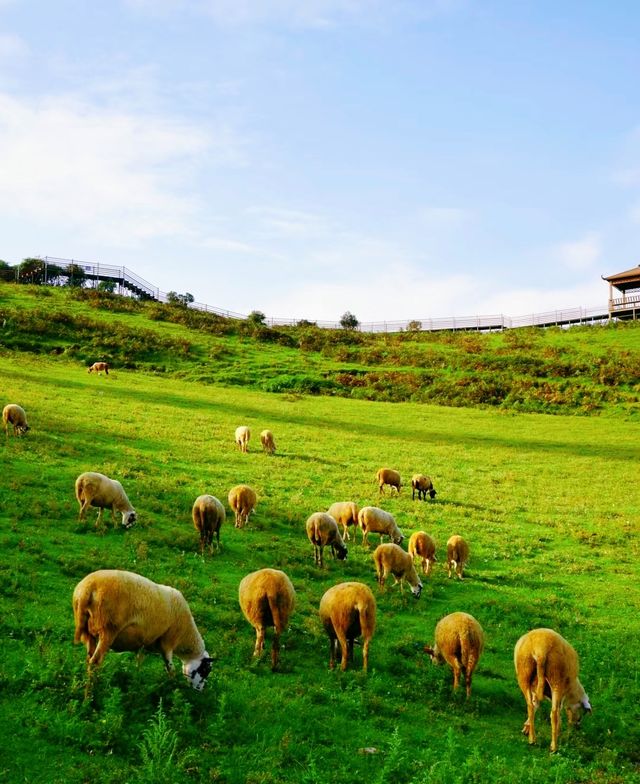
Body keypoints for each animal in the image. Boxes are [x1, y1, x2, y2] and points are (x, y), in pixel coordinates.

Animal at [72, 568, 212, 692]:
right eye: (204, 670)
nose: (199, 690)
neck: (186, 635)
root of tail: (87, 588)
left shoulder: (143, 644)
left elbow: (139, 662)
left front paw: (136, 681)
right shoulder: (168, 642)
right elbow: (171, 669)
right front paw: (173, 688)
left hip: (89, 632)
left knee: (89, 659)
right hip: (108, 629)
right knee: (95, 662)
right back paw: (92, 693)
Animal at [512, 624, 592, 752]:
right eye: (582, 713)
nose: (577, 726)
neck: (572, 691)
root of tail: (541, 648)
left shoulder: (535, 689)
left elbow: (535, 704)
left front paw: (527, 727)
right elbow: (556, 712)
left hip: (525, 672)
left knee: (531, 706)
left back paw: (533, 740)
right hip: (556, 678)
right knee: (554, 713)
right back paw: (553, 747)